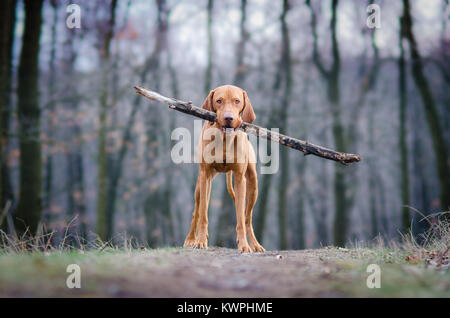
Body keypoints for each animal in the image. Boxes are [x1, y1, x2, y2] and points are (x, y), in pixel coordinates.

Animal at [183, 84, 266, 253]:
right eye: (219, 101)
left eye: (237, 101)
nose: (229, 118)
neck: (224, 139)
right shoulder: (205, 176)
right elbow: (203, 214)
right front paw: (200, 241)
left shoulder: (240, 179)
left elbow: (240, 217)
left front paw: (243, 245)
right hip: (200, 186)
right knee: (197, 211)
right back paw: (190, 238)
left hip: (253, 185)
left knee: (247, 218)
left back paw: (254, 244)